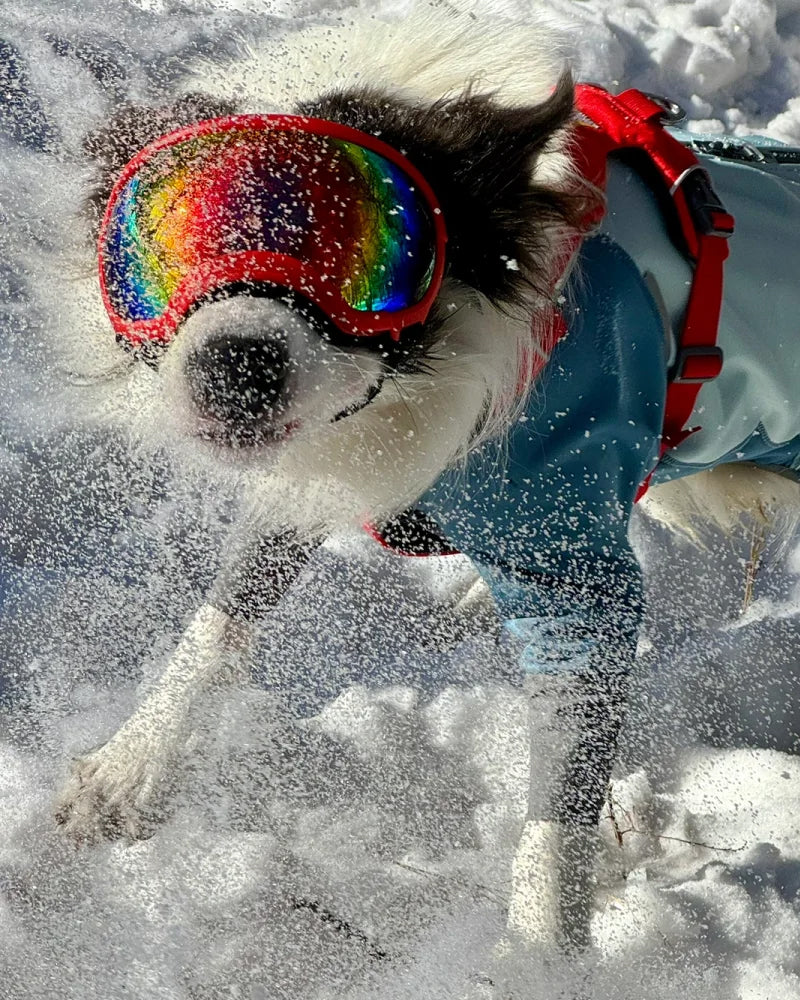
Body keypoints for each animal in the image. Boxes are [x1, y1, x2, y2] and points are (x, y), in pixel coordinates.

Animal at [53, 0, 800, 952]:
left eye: (369, 259)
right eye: (170, 248)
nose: (236, 367)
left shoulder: (574, 570)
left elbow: (557, 815)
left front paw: (539, 957)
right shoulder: (317, 466)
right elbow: (221, 619)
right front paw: (132, 762)